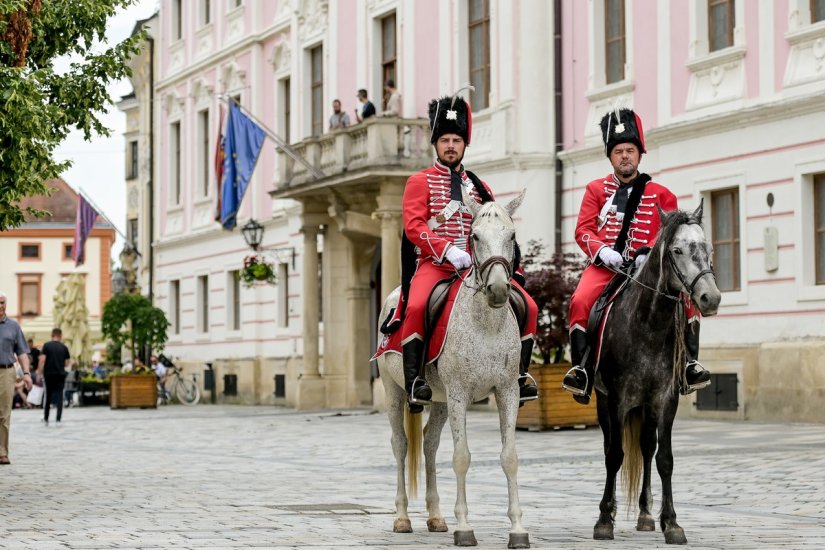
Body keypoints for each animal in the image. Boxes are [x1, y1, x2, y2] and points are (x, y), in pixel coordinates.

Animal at [374, 188, 528, 548]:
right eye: (475, 236)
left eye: (512, 235)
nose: (498, 290)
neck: (487, 325)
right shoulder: (459, 393)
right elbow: (461, 456)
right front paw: (465, 527)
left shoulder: (508, 391)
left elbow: (509, 457)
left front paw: (517, 529)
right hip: (394, 391)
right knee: (401, 444)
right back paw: (402, 517)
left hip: (440, 400)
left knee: (429, 444)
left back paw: (435, 516)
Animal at [592, 204, 720, 548]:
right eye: (677, 250)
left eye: (707, 248)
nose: (711, 298)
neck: (649, 325)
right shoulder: (617, 399)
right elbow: (614, 455)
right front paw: (604, 520)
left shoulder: (666, 400)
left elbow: (665, 459)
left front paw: (671, 523)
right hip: (603, 402)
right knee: (611, 446)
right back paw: (610, 509)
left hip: (647, 407)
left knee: (647, 447)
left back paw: (646, 514)